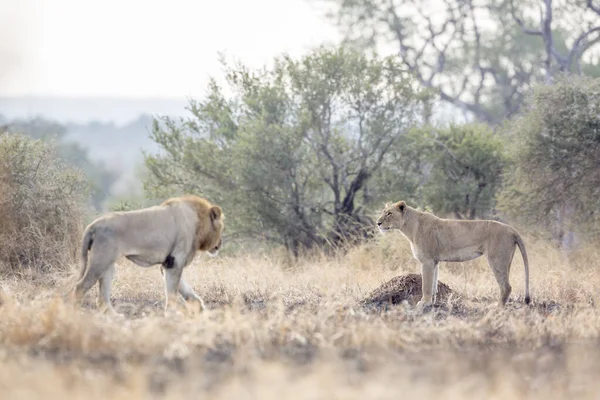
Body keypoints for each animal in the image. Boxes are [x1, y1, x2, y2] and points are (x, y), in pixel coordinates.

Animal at [70, 195, 224, 314]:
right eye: (221, 227)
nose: (220, 243)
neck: (198, 222)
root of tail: (92, 226)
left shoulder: (168, 263)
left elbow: (182, 287)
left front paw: (198, 305)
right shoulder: (175, 261)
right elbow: (173, 290)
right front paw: (172, 312)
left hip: (108, 266)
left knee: (102, 298)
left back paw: (116, 317)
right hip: (100, 261)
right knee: (80, 286)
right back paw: (74, 314)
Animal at [378, 202, 532, 308]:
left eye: (389, 213)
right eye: (384, 212)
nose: (378, 223)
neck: (409, 226)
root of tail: (511, 229)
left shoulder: (427, 261)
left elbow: (426, 284)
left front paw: (424, 303)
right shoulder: (434, 262)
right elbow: (433, 284)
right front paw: (432, 303)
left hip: (497, 260)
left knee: (506, 287)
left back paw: (497, 308)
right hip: (506, 261)